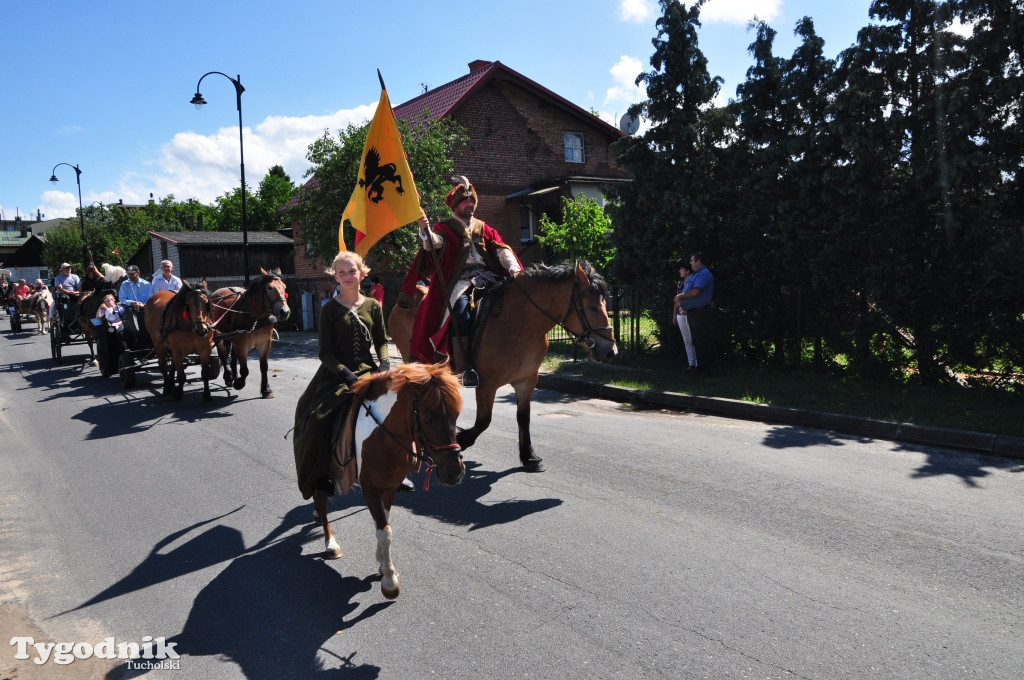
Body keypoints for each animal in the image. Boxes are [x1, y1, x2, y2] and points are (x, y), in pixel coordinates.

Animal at [207, 266, 288, 399]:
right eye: (269, 288)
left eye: (284, 287)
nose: (284, 311)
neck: (257, 317)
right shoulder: (242, 344)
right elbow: (244, 369)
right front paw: (239, 383)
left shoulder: (265, 342)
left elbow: (264, 366)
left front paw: (266, 389)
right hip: (219, 335)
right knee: (223, 355)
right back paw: (229, 377)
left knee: (233, 355)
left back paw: (234, 374)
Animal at [311, 364, 464, 598]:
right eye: (428, 418)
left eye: (456, 416)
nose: (455, 472)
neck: (383, 436)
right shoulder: (369, 488)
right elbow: (384, 531)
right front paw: (389, 581)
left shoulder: (390, 487)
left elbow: (383, 522)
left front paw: (382, 563)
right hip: (320, 471)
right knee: (320, 501)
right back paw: (331, 543)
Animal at [389, 259, 614, 473]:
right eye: (593, 308)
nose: (610, 351)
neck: (520, 323)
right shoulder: (486, 384)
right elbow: (483, 420)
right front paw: (461, 440)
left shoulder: (527, 380)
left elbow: (523, 417)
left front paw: (529, 457)